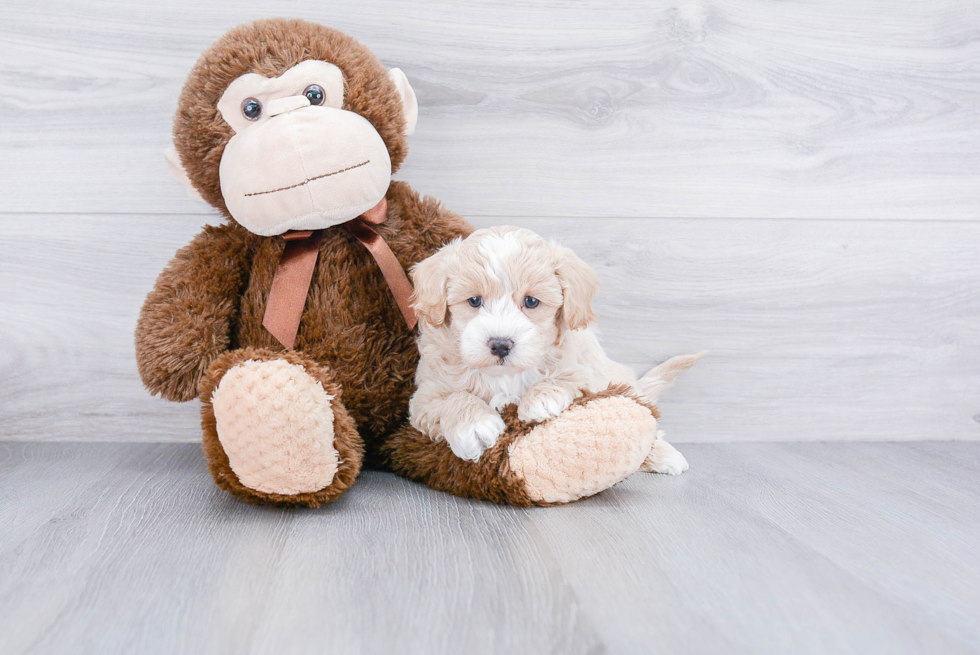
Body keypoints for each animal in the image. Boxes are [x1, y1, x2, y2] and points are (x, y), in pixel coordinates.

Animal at [410, 226, 700, 466]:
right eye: (474, 300)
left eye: (531, 302)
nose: (500, 345)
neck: (504, 376)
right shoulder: (424, 397)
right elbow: (452, 397)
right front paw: (474, 424)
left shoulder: (586, 371)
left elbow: (568, 377)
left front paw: (541, 398)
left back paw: (665, 456)